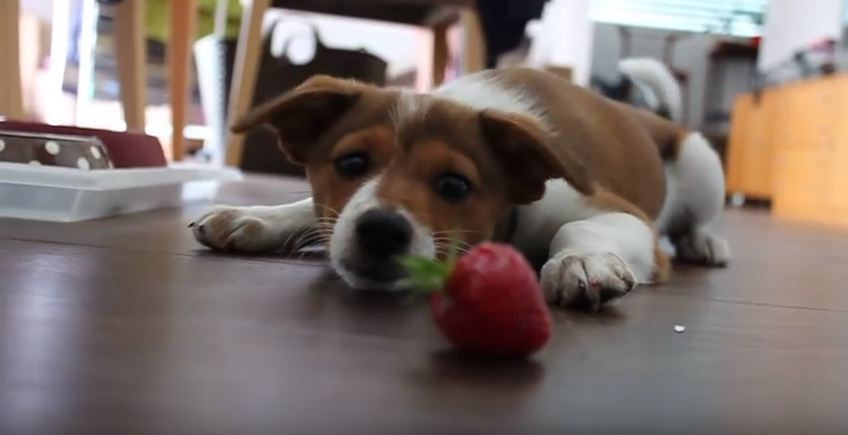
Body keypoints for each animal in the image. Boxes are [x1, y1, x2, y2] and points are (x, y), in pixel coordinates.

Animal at [190, 63, 728, 310]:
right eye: (351, 162)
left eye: (454, 184)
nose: (381, 230)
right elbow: (311, 209)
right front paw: (256, 216)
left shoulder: (621, 214)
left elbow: (577, 229)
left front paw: (582, 259)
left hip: (703, 166)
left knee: (695, 220)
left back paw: (705, 241)